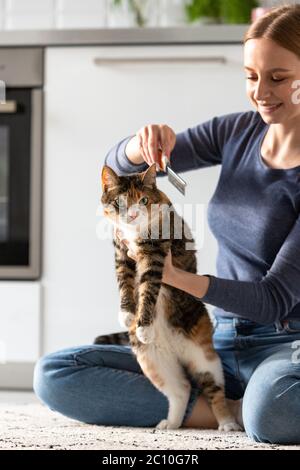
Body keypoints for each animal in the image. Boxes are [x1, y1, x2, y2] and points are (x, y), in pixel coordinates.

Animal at [96, 163, 241, 432]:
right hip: (152, 361)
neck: (134, 232)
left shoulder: (155, 256)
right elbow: (124, 282)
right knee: (181, 388)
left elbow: (148, 289)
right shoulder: (121, 252)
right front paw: (127, 314)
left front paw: (143, 325)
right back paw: (170, 424)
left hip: (204, 357)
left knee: (214, 389)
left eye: (143, 200)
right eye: (120, 202)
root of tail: (175, 348)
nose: (133, 215)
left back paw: (227, 422)